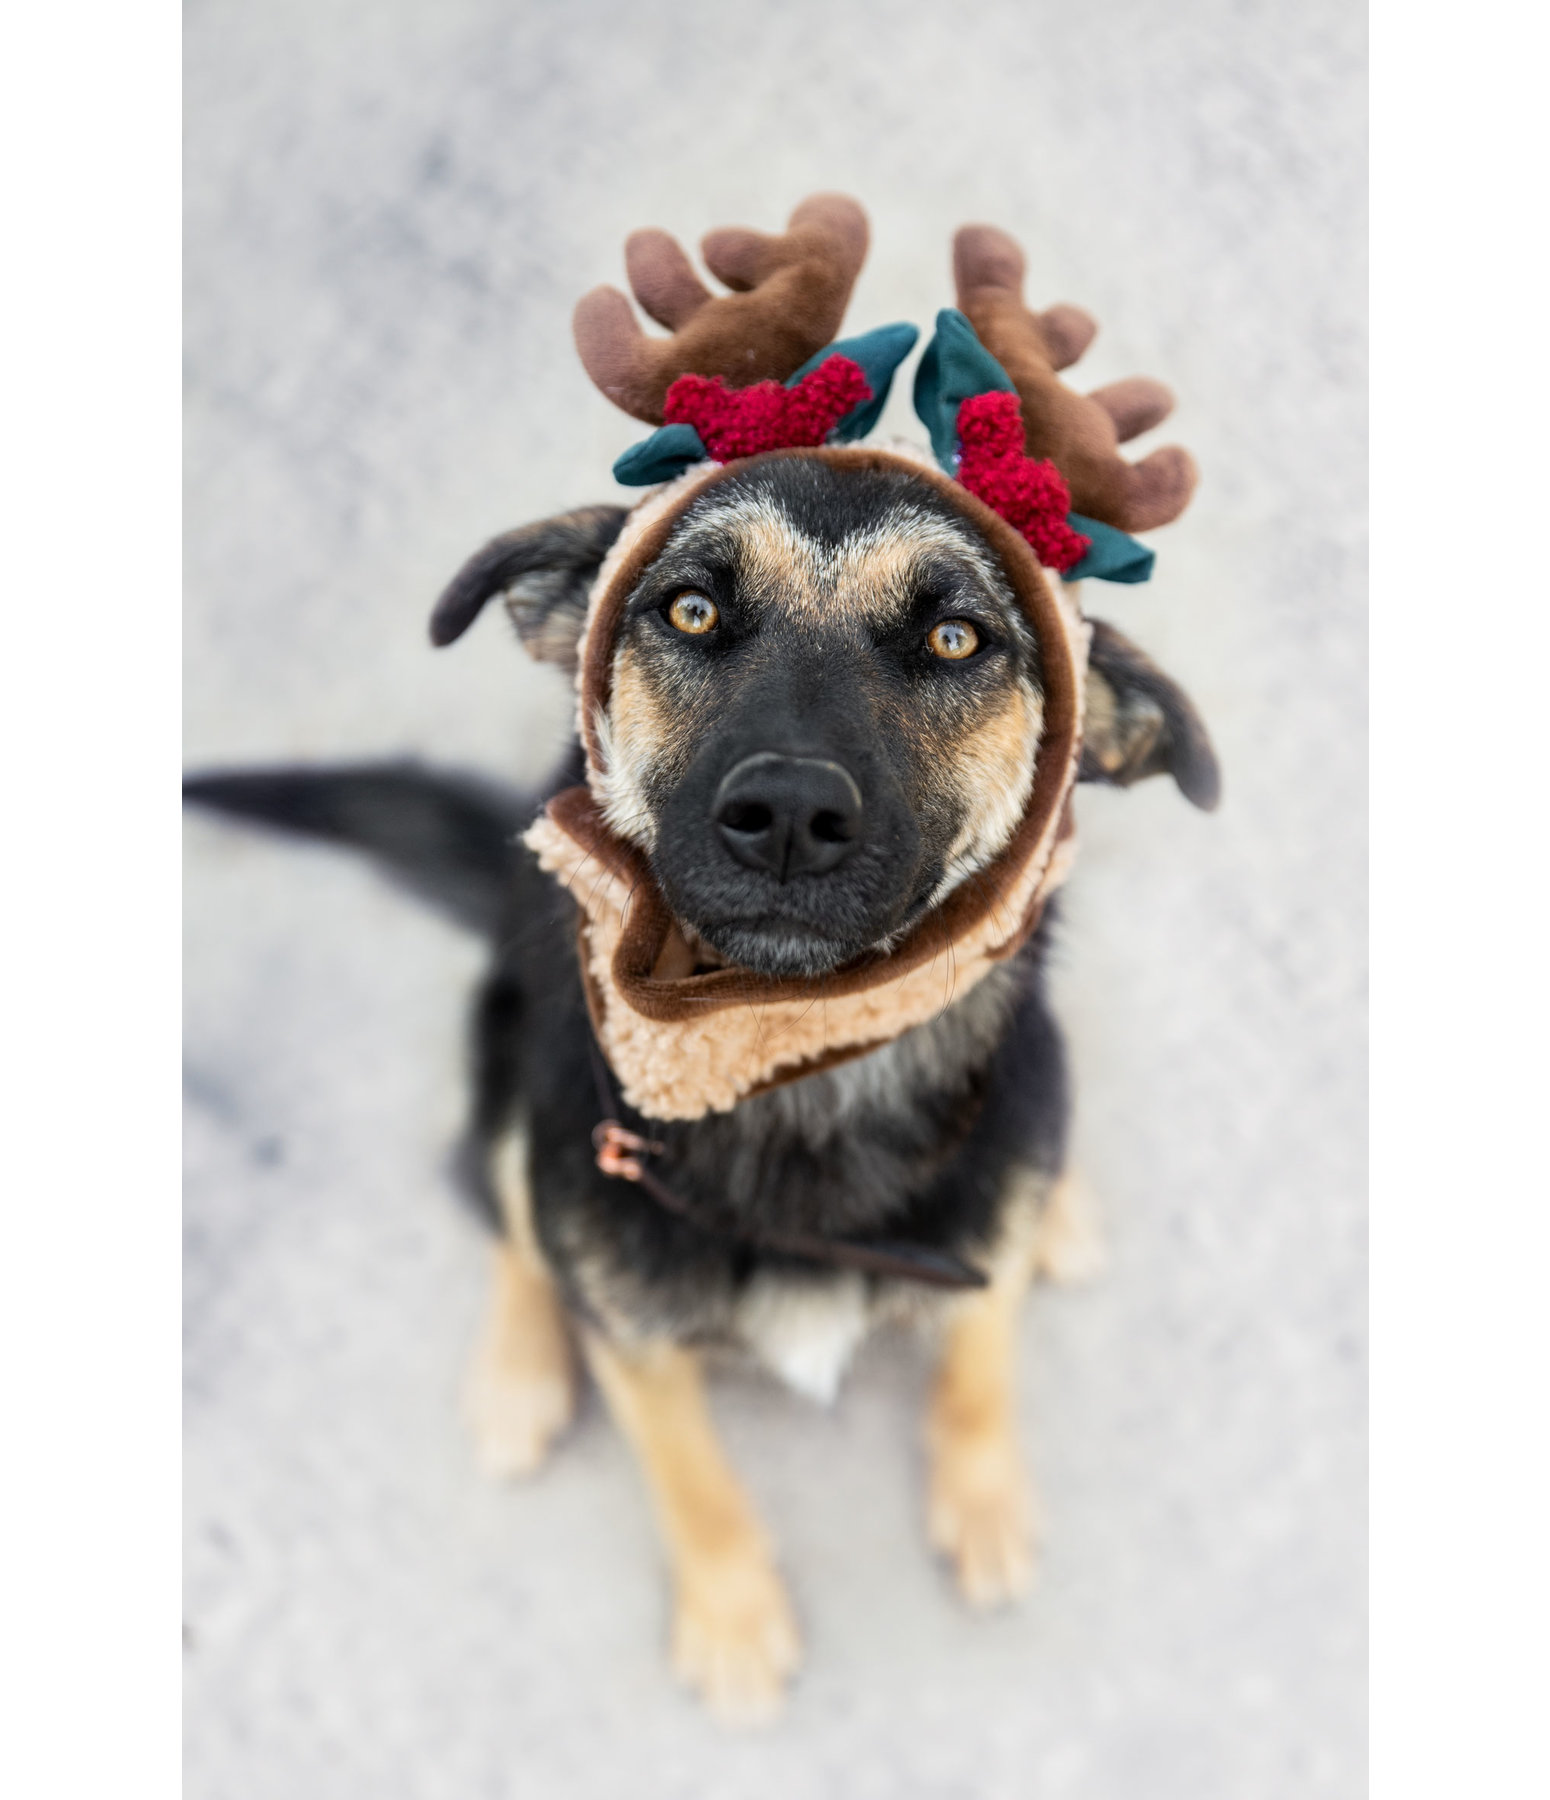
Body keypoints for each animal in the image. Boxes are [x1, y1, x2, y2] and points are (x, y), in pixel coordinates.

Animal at [184, 193, 1224, 1713]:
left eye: (956, 636)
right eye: (686, 610)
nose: (785, 814)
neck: (795, 1083)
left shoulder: (976, 1249)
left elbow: (976, 1358)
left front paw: (983, 1497)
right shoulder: (633, 1320)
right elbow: (687, 1469)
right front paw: (734, 1620)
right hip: (508, 1066)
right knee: (501, 1199)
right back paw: (516, 1371)